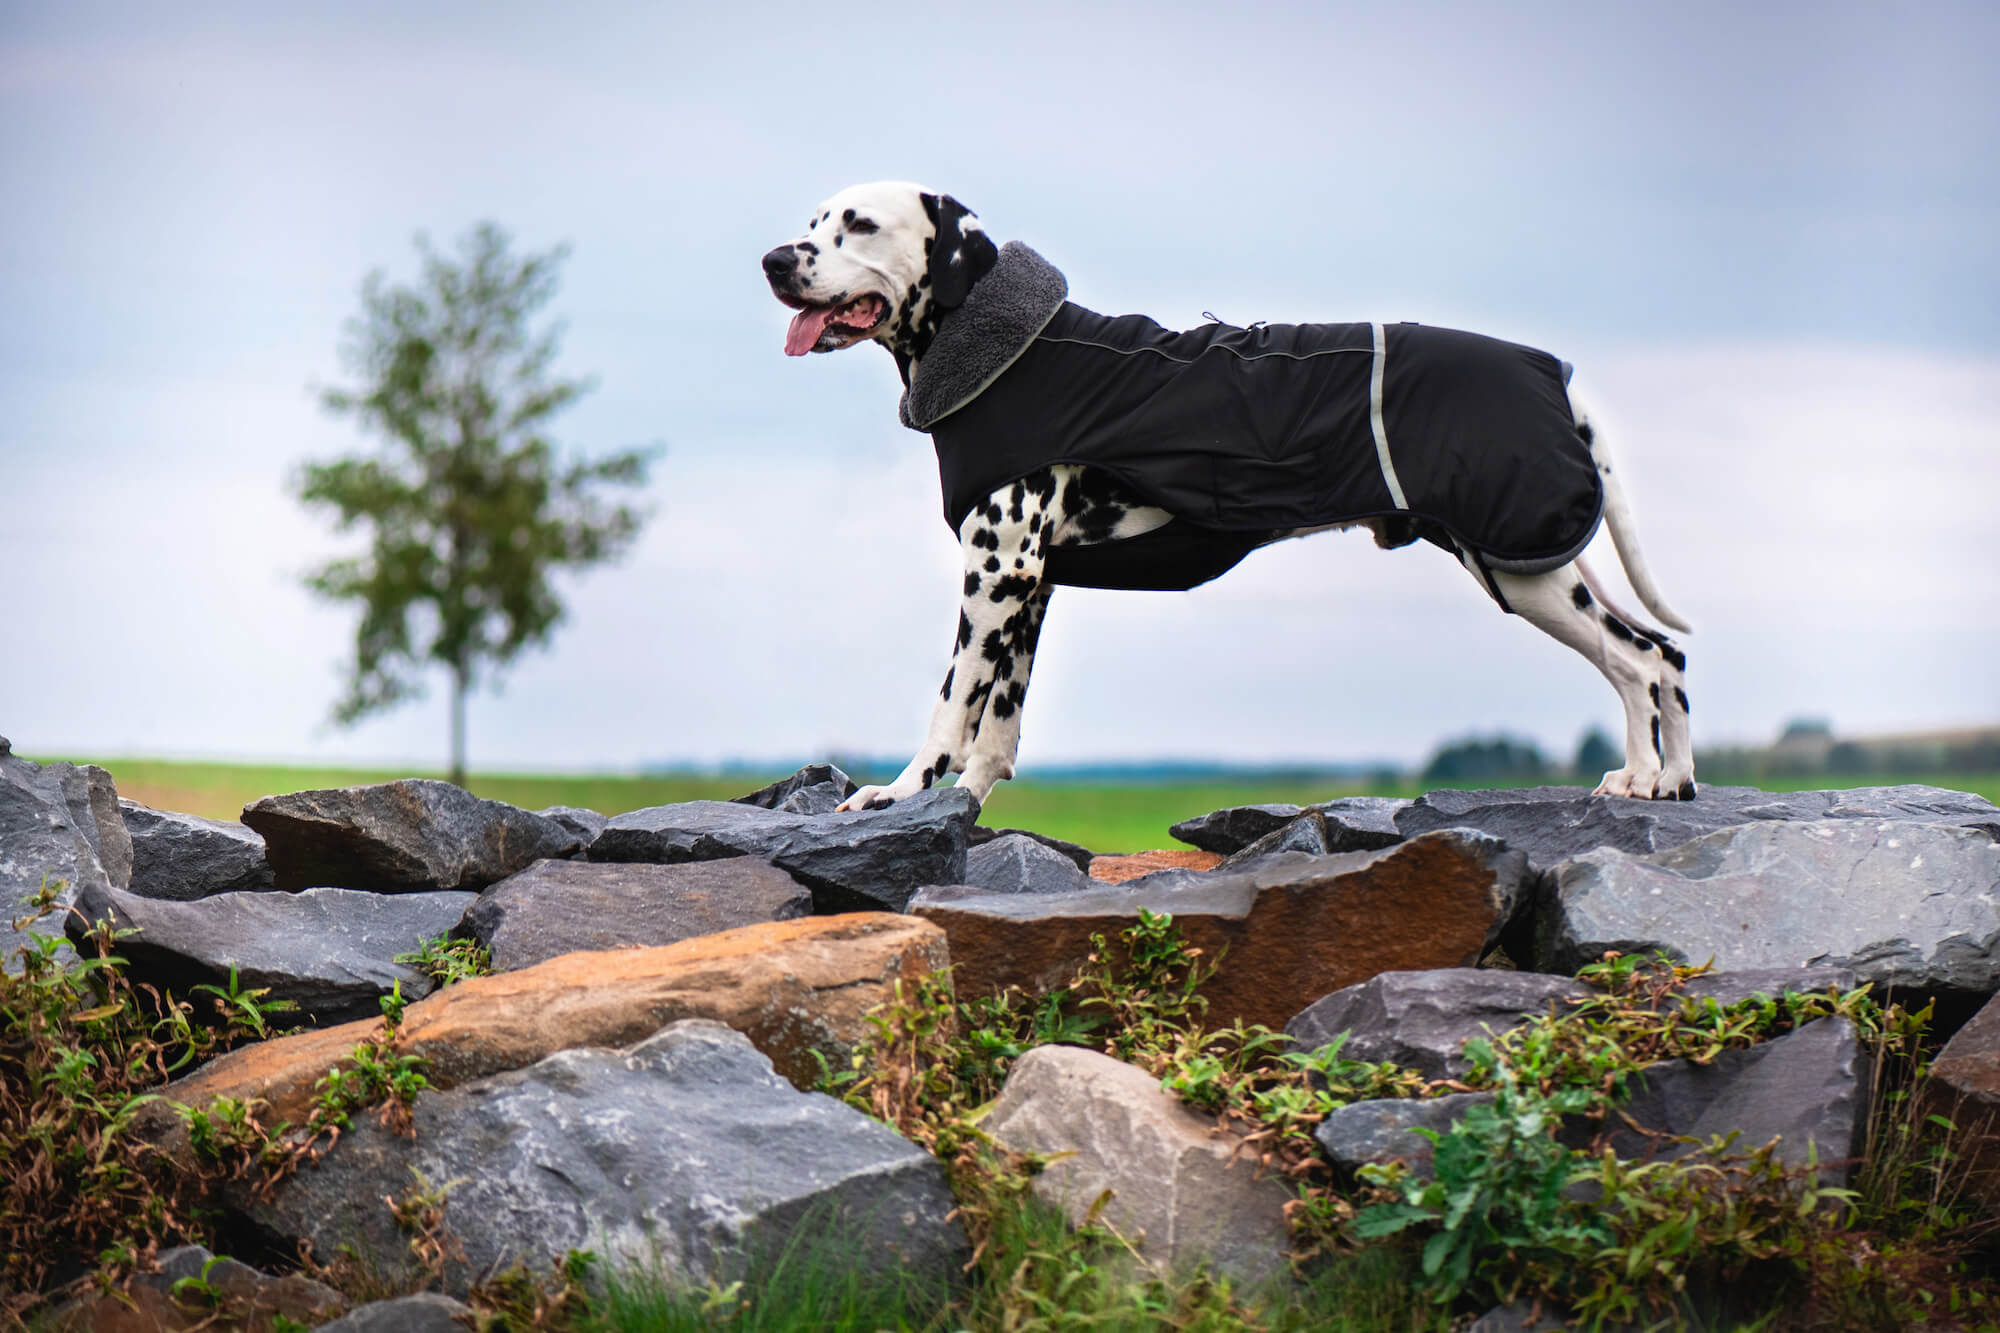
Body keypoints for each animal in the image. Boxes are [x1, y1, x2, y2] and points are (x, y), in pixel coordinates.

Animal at [756, 180, 1696, 808]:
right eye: (811, 225)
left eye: (860, 225)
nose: (772, 260)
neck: (1004, 349)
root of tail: (1554, 373)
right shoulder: (1029, 589)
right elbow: (999, 728)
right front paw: (965, 810)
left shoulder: (996, 576)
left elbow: (952, 707)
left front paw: (898, 791)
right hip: (1538, 564)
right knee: (1666, 659)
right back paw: (1670, 778)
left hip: (1526, 569)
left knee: (1640, 659)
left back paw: (1651, 779)